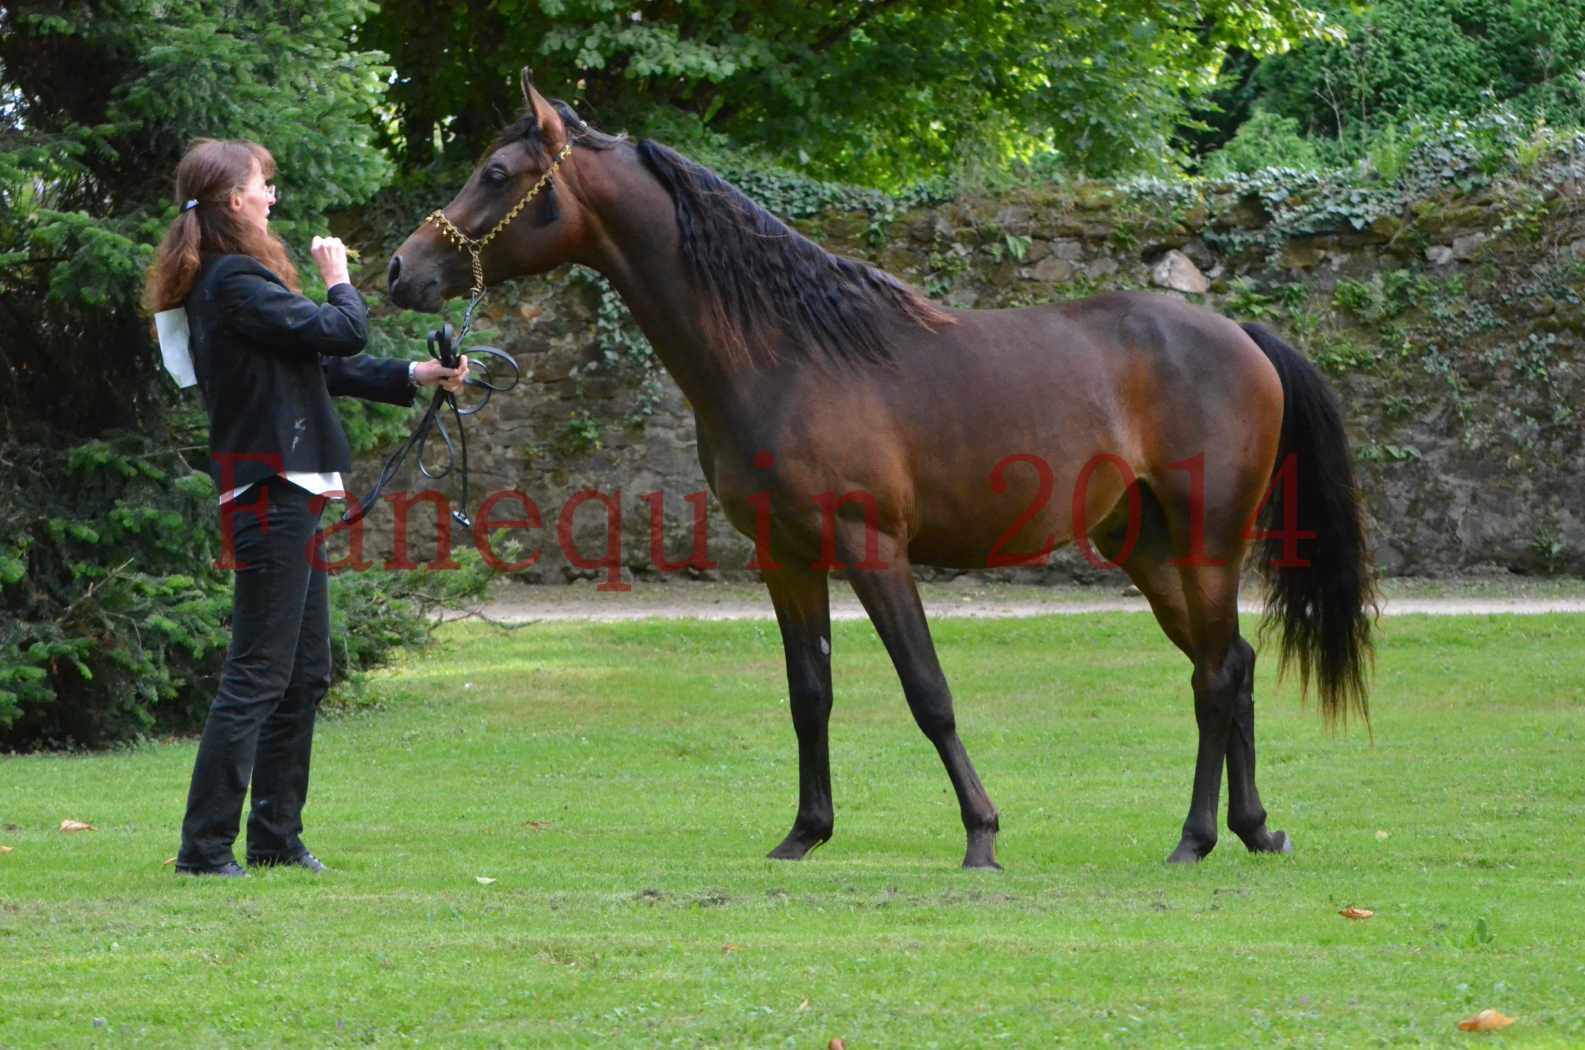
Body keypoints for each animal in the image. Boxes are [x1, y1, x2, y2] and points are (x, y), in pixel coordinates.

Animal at [386, 69, 1375, 869]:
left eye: (497, 175)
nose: (401, 270)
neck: (785, 353)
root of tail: (1237, 332)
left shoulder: (874, 549)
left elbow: (928, 694)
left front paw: (980, 835)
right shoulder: (785, 558)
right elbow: (809, 693)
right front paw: (804, 834)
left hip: (1207, 539)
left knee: (1215, 676)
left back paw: (1195, 838)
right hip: (1147, 547)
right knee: (1229, 663)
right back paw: (1250, 829)